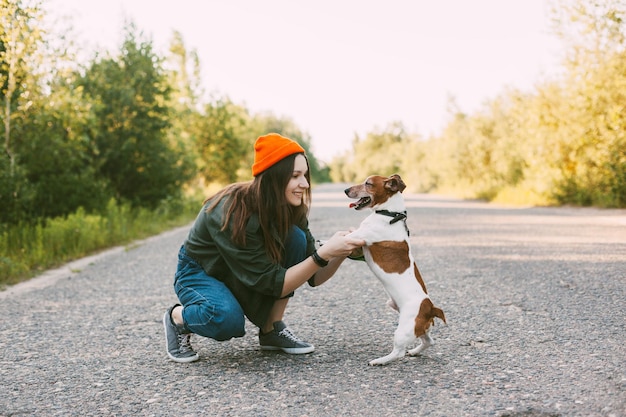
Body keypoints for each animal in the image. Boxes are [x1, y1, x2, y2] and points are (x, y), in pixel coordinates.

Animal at [342, 173, 444, 364]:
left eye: (368, 183)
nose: (345, 190)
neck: (389, 214)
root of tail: (430, 309)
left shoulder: (359, 237)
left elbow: (340, 236)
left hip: (403, 329)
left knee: (398, 352)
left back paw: (380, 361)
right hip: (418, 327)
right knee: (429, 341)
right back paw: (415, 351)